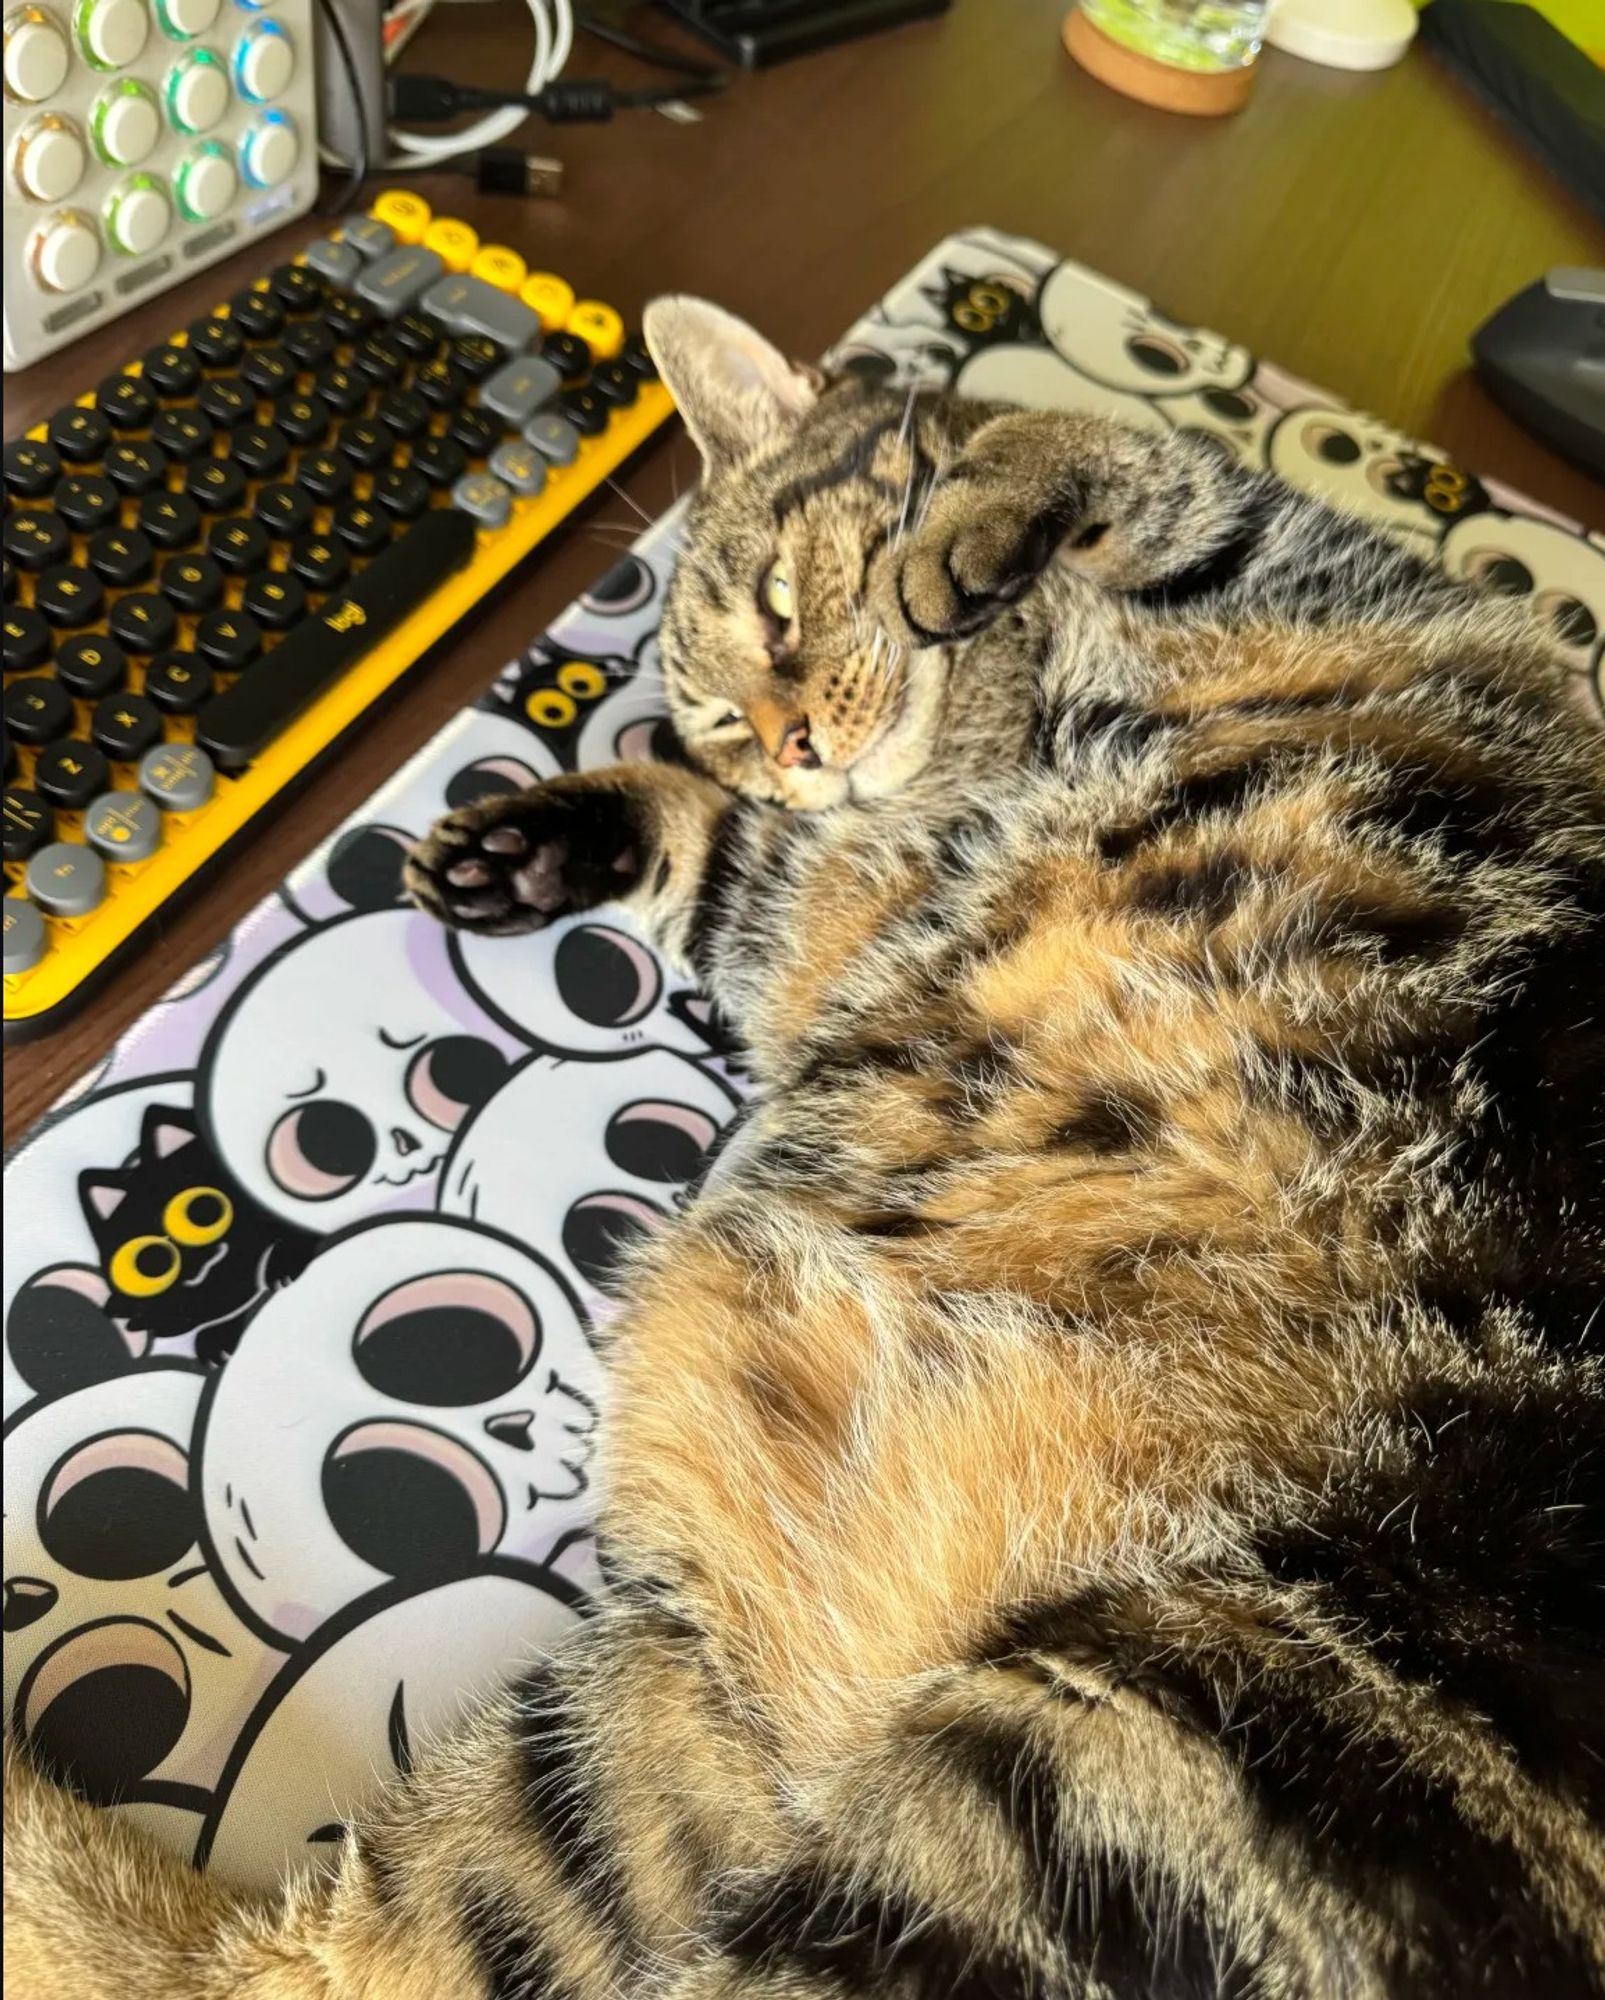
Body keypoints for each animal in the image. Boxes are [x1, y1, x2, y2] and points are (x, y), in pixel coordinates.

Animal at [6, 296, 1592, 2000]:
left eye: (775, 612)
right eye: (718, 709)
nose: (791, 740)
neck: (976, 735)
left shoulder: (1245, 543)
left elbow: (1078, 448)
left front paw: (961, 526)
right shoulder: (810, 906)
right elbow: (716, 844)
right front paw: (539, 833)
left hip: (1144, 1766)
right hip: (686, 1749)